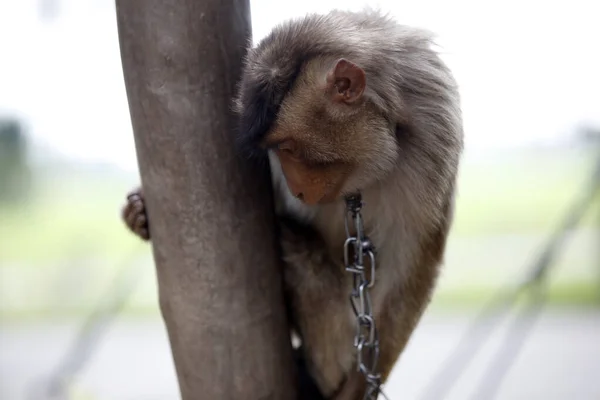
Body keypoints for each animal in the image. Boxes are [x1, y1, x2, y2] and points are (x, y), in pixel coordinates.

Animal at [122, 8, 464, 400]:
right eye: (276, 151)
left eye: (289, 147)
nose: (297, 189)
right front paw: (139, 213)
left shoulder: (433, 145)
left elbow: (413, 272)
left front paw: (359, 387)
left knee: (296, 251)